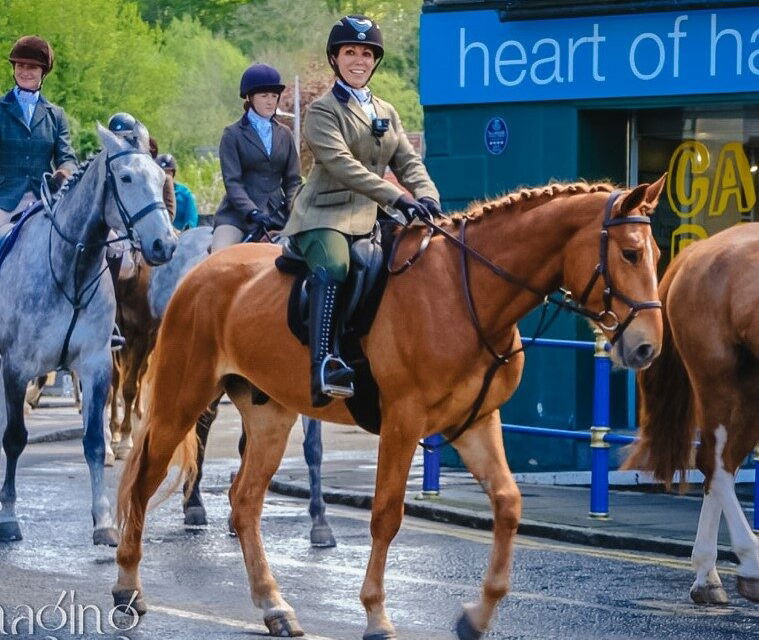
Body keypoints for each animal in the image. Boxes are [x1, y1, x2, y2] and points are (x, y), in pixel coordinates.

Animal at [0, 124, 177, 546]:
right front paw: (9, 518)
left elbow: (95, 443)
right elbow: (14, 438)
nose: (164, 244)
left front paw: (104, 522)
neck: (71, 269)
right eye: (125, 178)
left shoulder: (96, 363)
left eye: (160, 177)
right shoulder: (15, 367)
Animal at [625, 222, 759, 606]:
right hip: (719, 378)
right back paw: (744, 565)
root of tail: (697, 251)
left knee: (722, 464)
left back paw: (708, 578)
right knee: (715, 463)